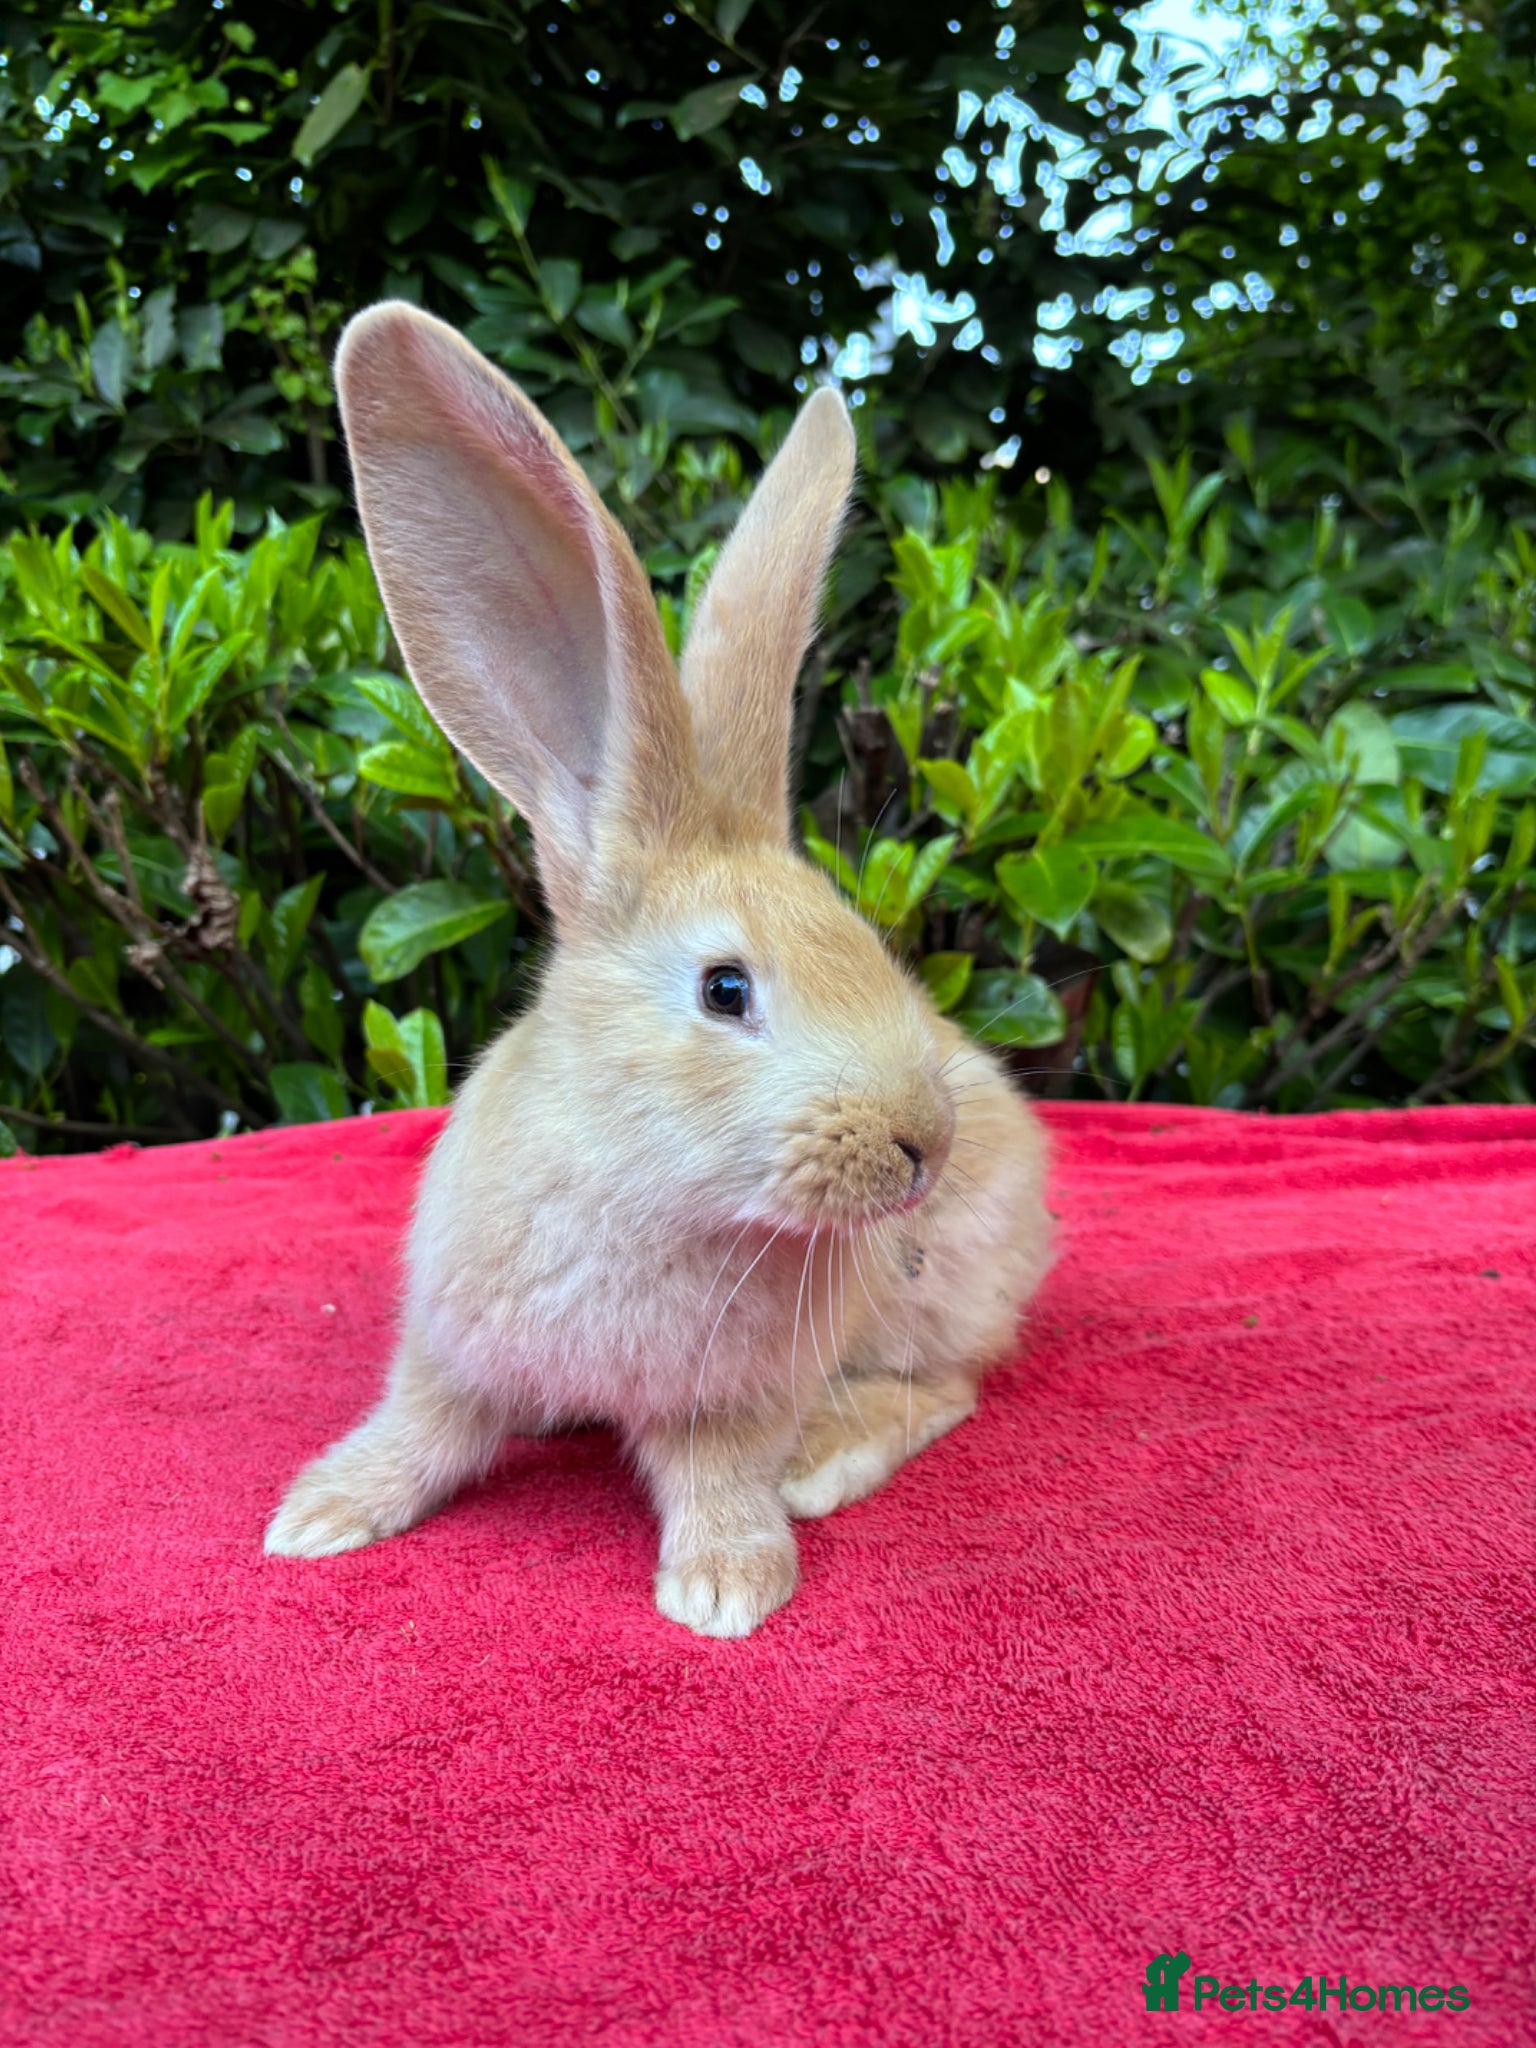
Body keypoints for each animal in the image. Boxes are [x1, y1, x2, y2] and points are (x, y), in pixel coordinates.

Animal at [264, 302, 1053, 1638]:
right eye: (725, 989)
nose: (923, 1144)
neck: (645, 1184)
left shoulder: (732, 1398)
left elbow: (721, 1475)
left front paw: (728, 1584)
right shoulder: (449, 1348)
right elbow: (419, 1428)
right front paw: (319, 1514)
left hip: (936, 1293)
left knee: (946, 1386)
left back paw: (823, 1458)